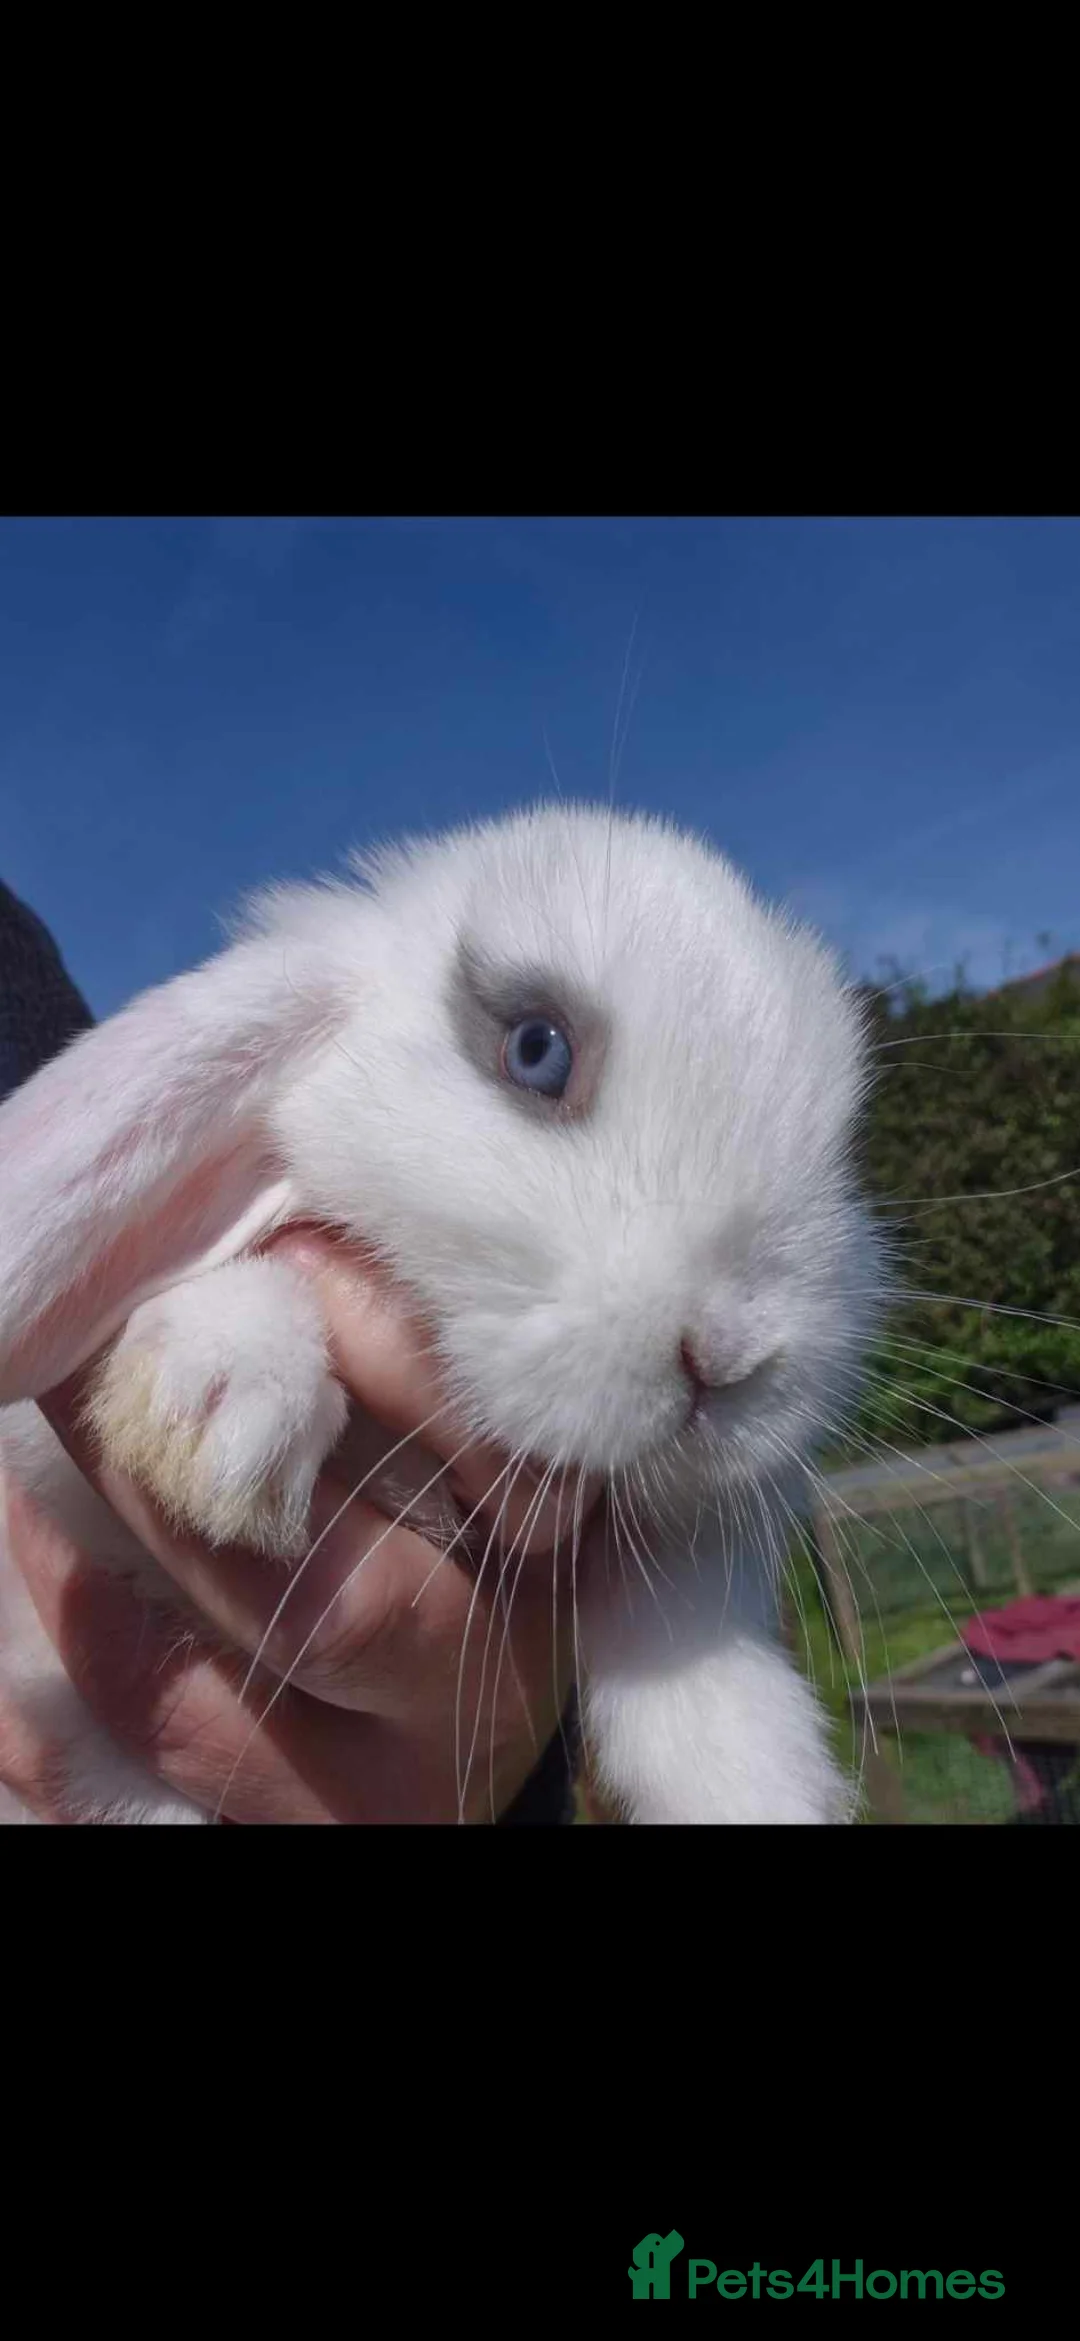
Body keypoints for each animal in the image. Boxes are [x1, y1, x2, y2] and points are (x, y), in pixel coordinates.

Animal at [0, 802, 881, 1824]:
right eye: (537, 1049)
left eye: (843, 1147)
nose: (733, 1357)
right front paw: (216, 1411)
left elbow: (686, 1653)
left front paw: (762, 1783)